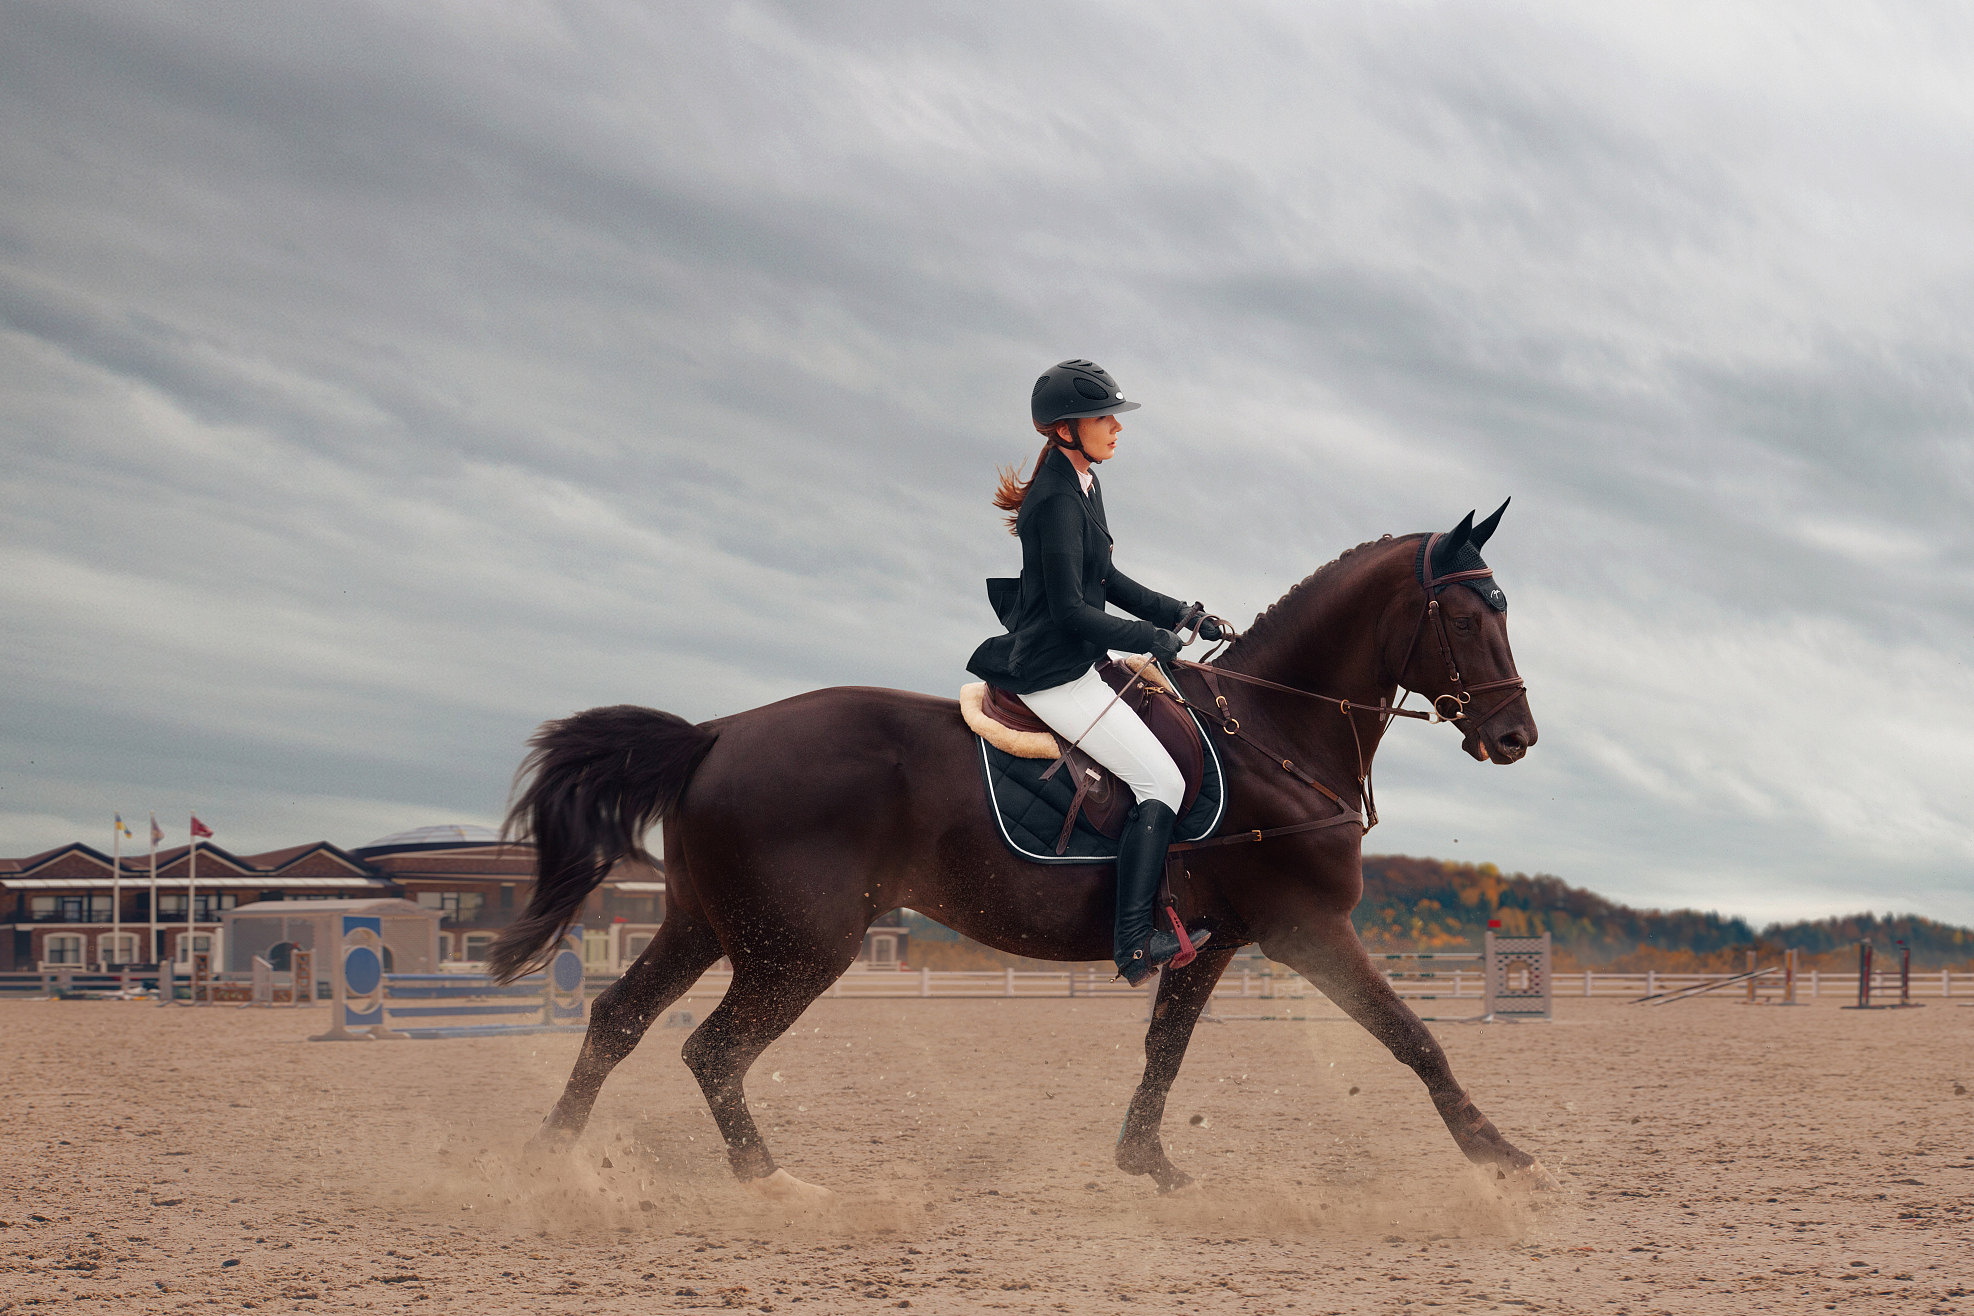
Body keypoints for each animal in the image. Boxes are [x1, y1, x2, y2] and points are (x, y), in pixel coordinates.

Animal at [491, 508, 1551, 1202]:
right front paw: (1501, 1157)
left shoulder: (1212, 941)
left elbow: (1167, 1049)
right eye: (1469, 617)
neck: (1274, 734)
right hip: (797, 947)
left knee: (619, 1022)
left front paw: (1149, 1164)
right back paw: (770, 1183)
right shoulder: (1307, 929)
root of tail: (716, 733)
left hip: (708, 923)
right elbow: (1416, 1038)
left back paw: (553, 1162)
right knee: (710, 1050)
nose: (1516, 738)